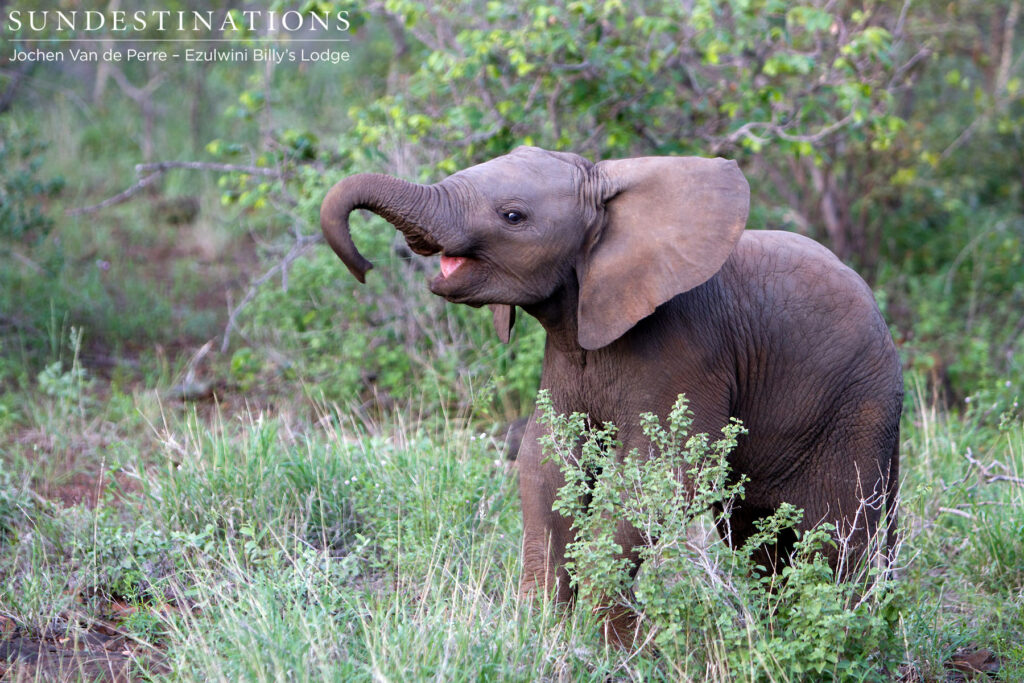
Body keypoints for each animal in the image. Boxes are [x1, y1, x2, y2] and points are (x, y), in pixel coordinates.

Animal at [319, 146, 903, 639]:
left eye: (513, 216)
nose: (367, 266)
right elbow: (545, 463)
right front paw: (540, 631)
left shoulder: (688, 347)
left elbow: (657, 474)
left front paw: (610, 642)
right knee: (755, 532)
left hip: (856, 407)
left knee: (839, 534)